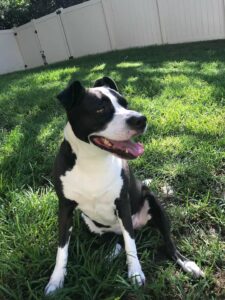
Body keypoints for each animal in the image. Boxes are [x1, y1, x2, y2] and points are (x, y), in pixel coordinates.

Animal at [44, 76, 205, 294]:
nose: (141, 119)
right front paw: (56, 281)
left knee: (166, 242)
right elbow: (62, 249)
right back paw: (110, 254)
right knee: (116, 240)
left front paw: (135, 273)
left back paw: (186, 263)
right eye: (100, 109)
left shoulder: (122, 203)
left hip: (153, 206)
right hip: (89, 223)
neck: (92, 160)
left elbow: (131, 244)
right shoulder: (65, 209)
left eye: (125, 103)